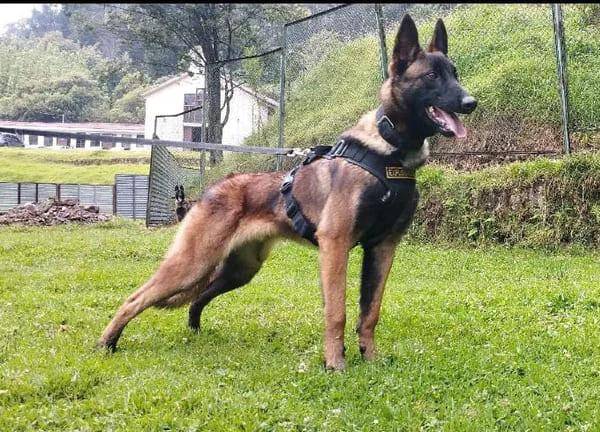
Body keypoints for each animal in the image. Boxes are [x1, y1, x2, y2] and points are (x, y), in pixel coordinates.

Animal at [98, 14, 476, 370]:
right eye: (432, 76)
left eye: (454, 73)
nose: (470, 102)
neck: (390, 152)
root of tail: (212, 189)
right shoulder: (335, 244)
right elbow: (337, 311)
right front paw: (335, 363)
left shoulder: (383, 248)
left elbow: (370, 311)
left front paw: (369, 359)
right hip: (193, 262)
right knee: (137, 297)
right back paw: (107, 343)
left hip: (240, 270)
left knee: (197, 298)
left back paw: (193, 333)